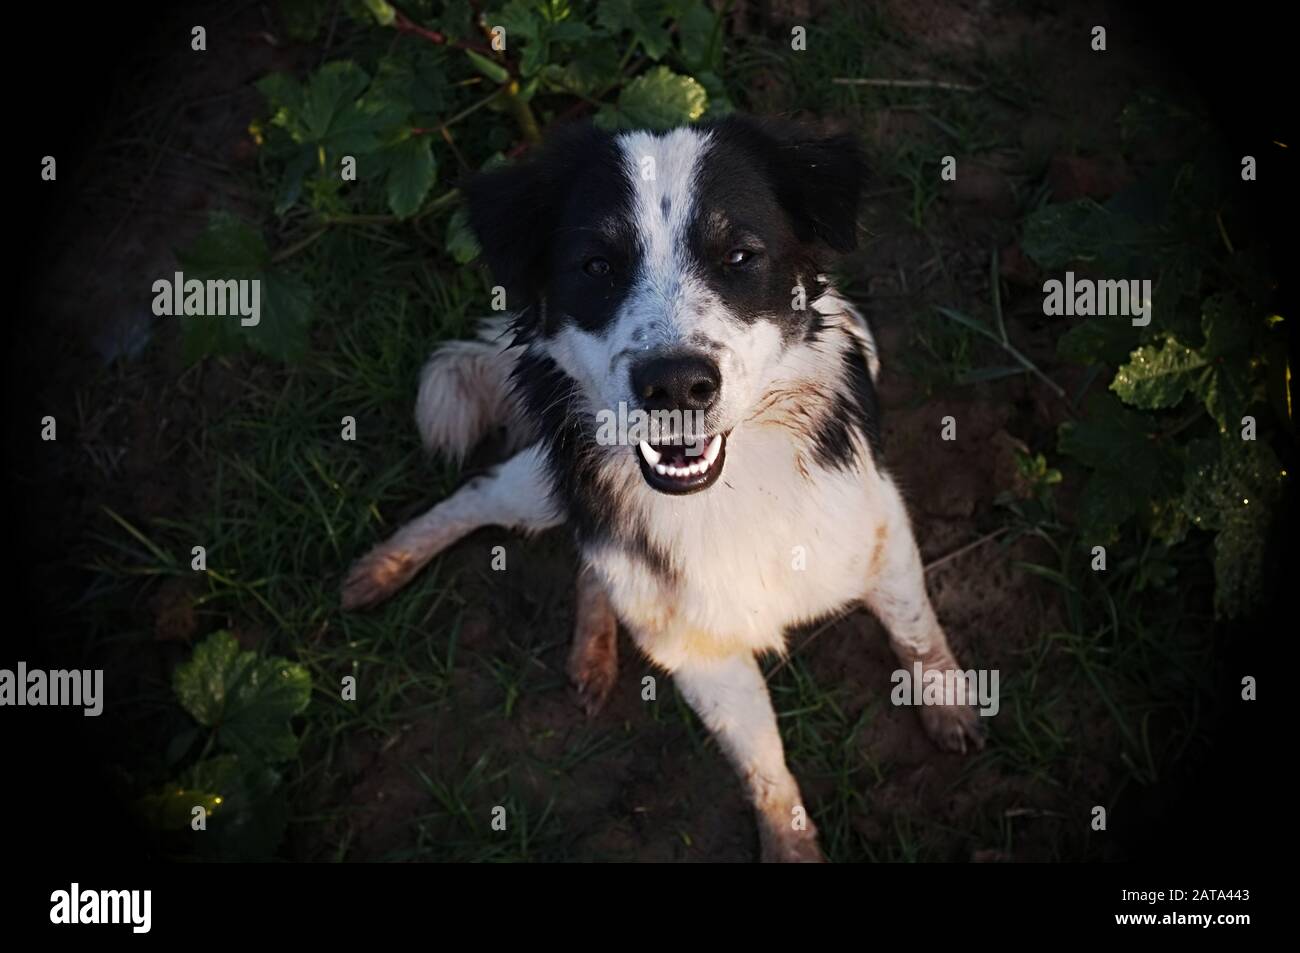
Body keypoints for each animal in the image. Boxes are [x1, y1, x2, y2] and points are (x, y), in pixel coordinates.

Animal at [345, 115, 982, 858]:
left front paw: (948, 705)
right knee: (487, 497)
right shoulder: (701, 653)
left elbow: (916, 630)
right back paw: (382, 569)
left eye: (739, 256)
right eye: (596, 266)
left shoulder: (882, 533)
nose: (675, 384)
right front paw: (789, 841)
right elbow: (764, 769)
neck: (725, 499)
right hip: (546, 484)